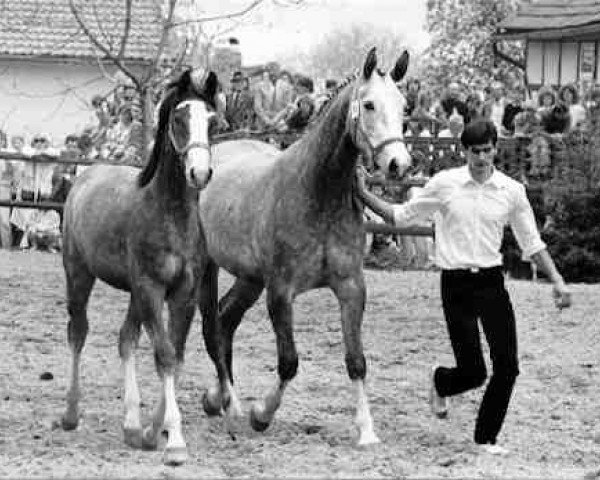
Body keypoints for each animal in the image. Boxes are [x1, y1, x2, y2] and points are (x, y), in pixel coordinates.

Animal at [199, 48, 410, 446]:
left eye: (403, 105)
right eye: (369, 105)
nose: (398, 164)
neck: (317, 191)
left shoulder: (351, 288)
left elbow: (356, 361)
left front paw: (367, 430)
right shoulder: (281, 292)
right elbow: (289, 362)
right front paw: (261, 415)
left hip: (250, 278)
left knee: (224, 320)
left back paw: (221, 398)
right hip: (208, 267)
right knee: (210, 326)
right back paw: (228, 402)